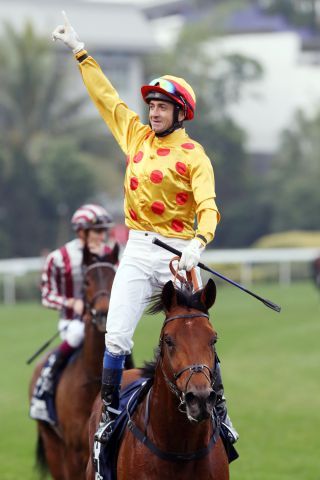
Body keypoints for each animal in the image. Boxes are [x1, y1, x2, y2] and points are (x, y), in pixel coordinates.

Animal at [29, 244, 126, 480]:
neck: (93, 376)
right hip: (52, 443)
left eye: (114, 276)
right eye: (87, 281)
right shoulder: (74, 451)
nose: (103, 314)